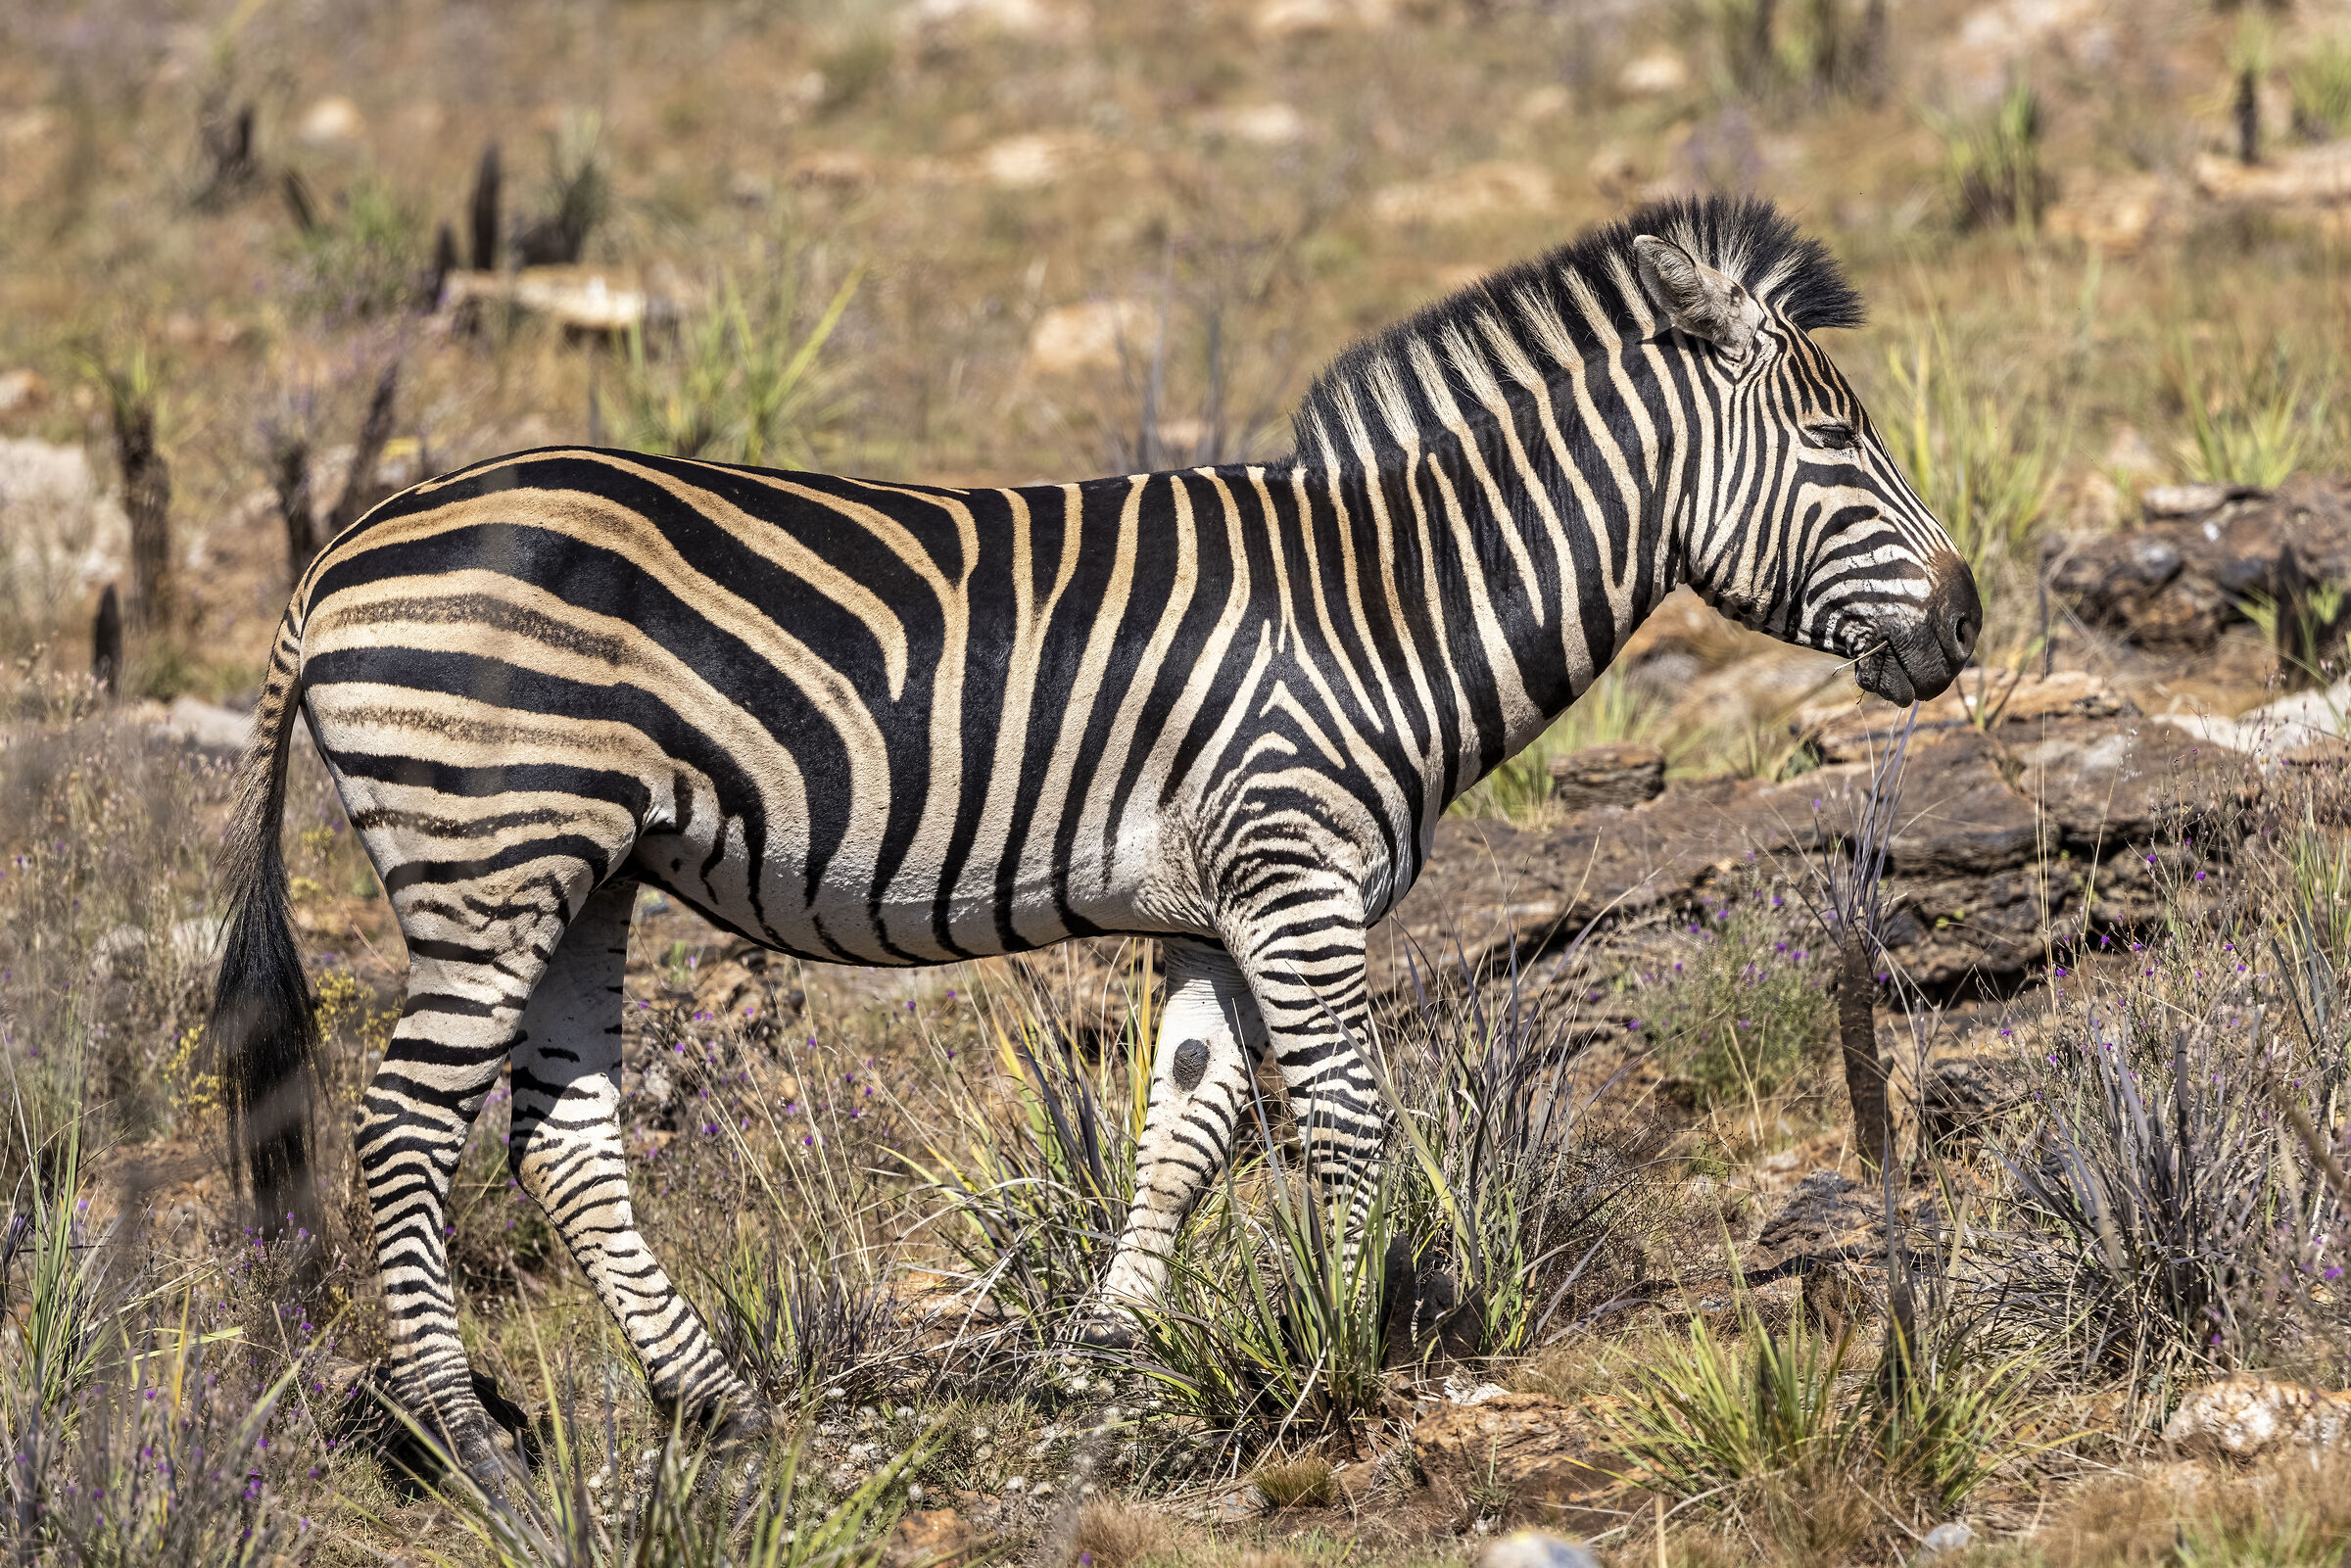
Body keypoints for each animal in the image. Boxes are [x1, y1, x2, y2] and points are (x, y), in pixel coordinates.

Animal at [208, 194, 1977, 1486]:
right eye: (1838, 444)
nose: (1965, 620)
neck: (1387, 604)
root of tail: (337, 558)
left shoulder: (1216, 907)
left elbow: (1182, 1129)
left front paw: (1116, 1359)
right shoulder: (1298, 875)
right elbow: (1344, 1120)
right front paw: (1361, 1343)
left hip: (585, 874)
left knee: (562, 1141)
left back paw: (716, 1405)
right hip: (490, 859)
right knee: (403, 1129)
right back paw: (469, 1439)